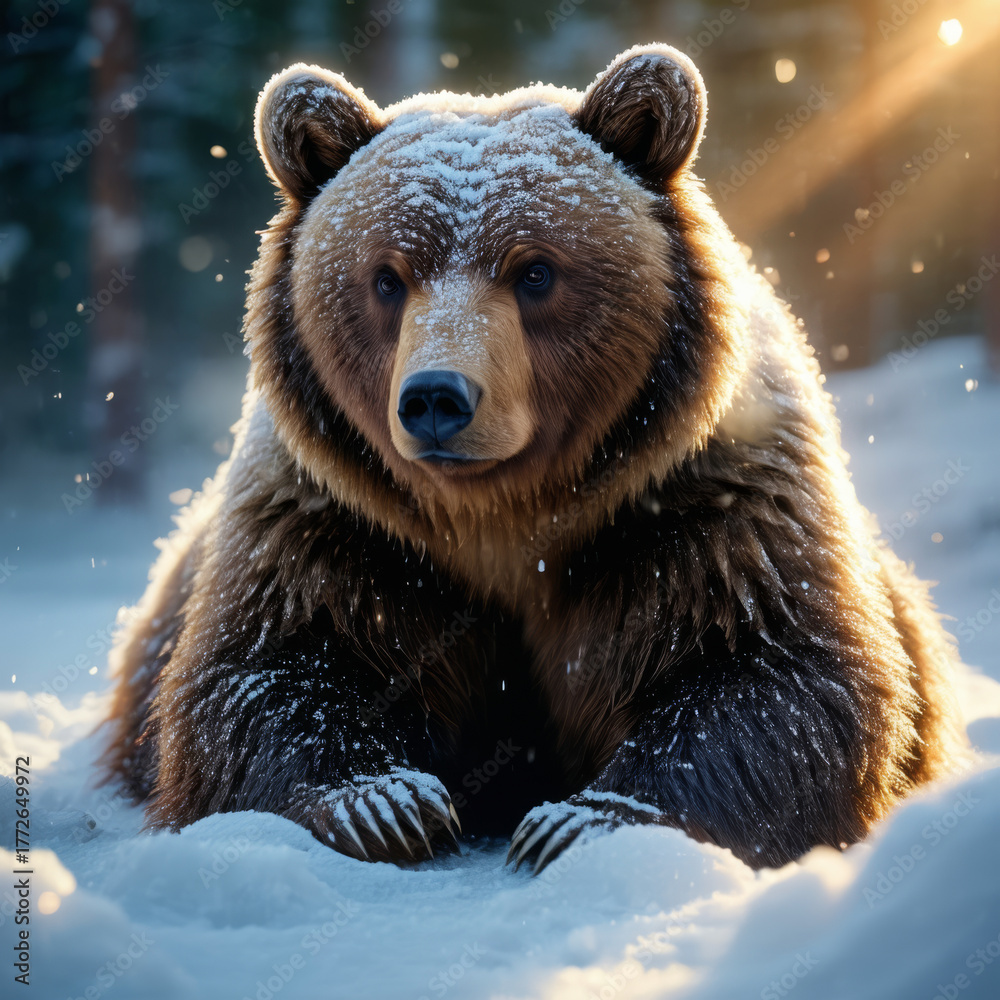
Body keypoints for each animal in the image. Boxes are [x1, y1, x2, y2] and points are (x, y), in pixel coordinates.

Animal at [100, 44, 968, 873]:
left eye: (537, 271)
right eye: (387, 278)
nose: (437, 398)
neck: (504, 518)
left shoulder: (707, 504)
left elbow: (773, 670)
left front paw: (578, 820)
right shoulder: (336, 522)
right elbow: (264, 668)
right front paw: (385, 802)